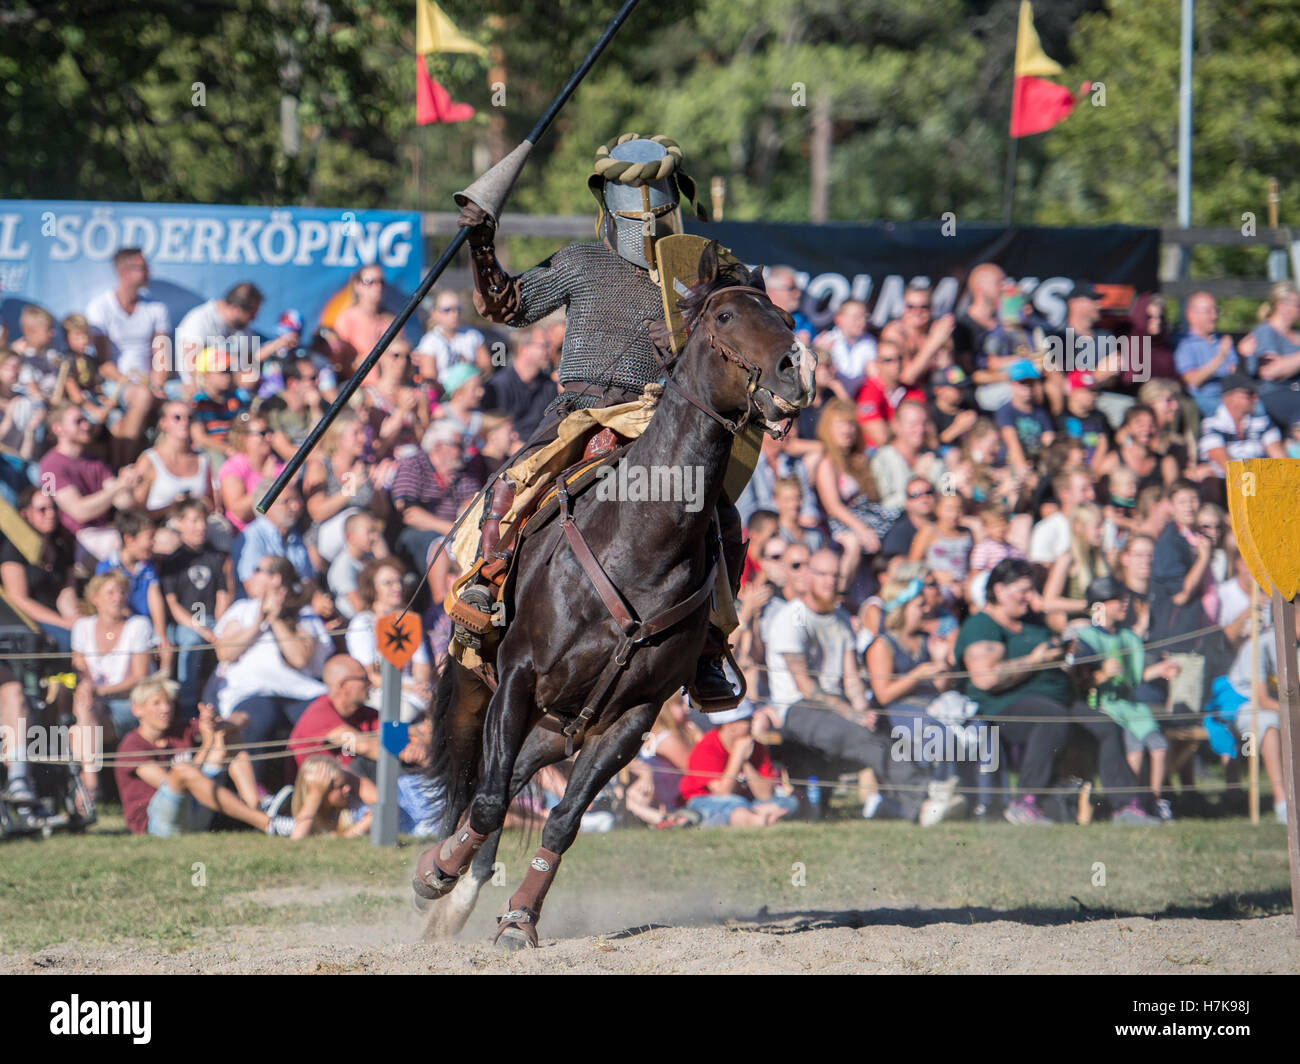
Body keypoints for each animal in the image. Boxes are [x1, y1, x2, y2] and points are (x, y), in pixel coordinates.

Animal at [410, 241, 811, 946]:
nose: (794, 376)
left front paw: (519, 917)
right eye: (727, 316)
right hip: (484, 685)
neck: (639, 544)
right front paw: (439, 876)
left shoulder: (631, 717)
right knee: (486, 783)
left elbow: (563, 819)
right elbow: (487, 800)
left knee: (516, 774)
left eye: (787, 317)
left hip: (562, 720)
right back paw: (447, 878)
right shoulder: (518, 677)